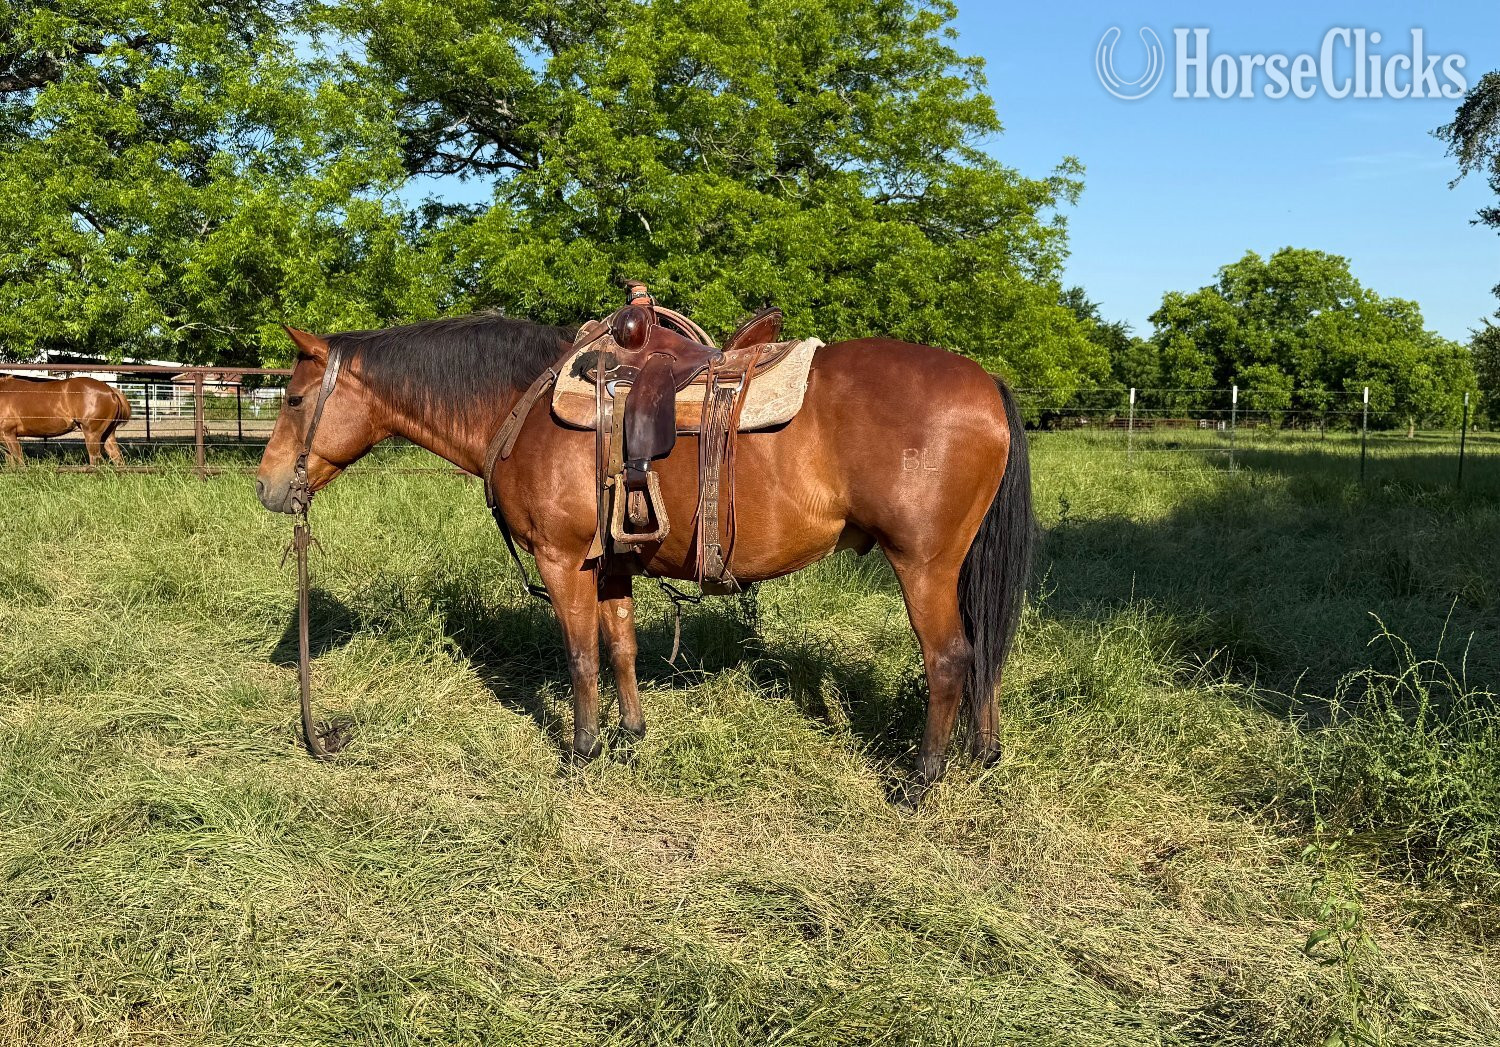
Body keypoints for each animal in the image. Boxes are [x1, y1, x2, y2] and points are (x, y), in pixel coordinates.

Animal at [0, 375, 131, 466]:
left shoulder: (9, 434)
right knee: (117, 458)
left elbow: (19, 461)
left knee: (96, 460)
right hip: (108, 434)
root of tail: (111, 390)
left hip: (92, 434)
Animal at [255, 313, 1034, 799]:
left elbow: (579, 657)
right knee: (984, 654)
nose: (266, 486)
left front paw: (581, 753)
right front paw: (630, 736)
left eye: (291, 397)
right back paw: (983, 753)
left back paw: (924, 779)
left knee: (949, 659)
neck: (523, 407)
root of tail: (988, 384)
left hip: (922, 565)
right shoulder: (611, 566)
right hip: (957, 568)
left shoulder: (562, 561)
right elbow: (621, 647)